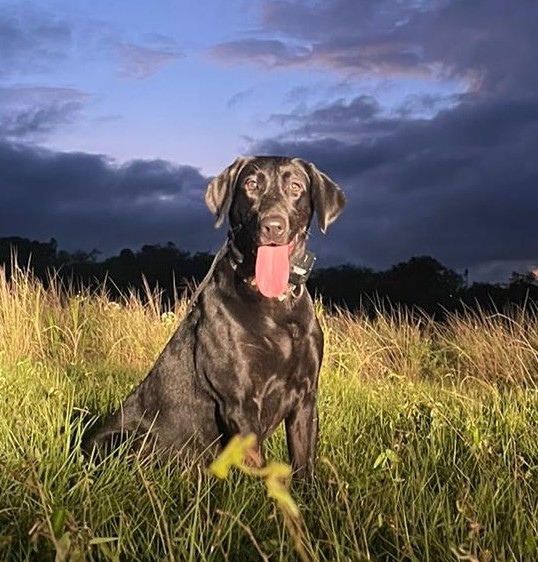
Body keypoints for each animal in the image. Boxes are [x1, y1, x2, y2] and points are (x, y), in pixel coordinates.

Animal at [84, 155, 344, 474]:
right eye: (251, 185)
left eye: (295, 186)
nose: (273, 226)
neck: (277, 306)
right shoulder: (240, 402)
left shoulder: (306, 398)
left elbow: (304, 466)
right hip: (127, 439)